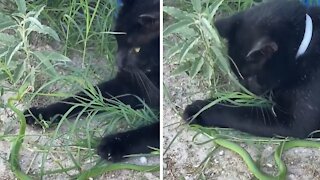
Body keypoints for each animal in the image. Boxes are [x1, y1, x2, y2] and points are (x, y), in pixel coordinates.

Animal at [24, 0, 160, 162]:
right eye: (117, 40)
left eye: (137, 49)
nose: (118, 62)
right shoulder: (127, 85)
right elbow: (82, 99)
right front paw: (40, 114)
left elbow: (147, 134)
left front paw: (113, 144)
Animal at [184, 0, 320, 138]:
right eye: (237, 76)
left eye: (252, 78)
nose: (246, 92)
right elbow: (232, 100)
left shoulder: (292, 123)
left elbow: (238, 113)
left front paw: (199, 112)